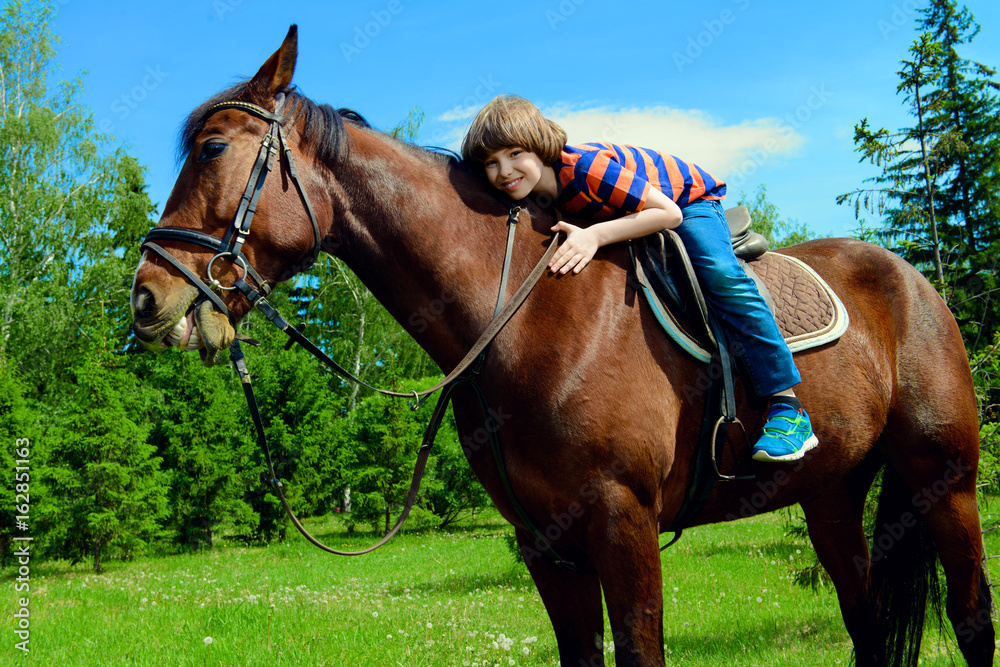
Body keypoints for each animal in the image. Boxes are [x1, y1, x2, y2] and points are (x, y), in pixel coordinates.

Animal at [131, 27, 992, 667]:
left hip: (943, 479)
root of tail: (913, 281)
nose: (147, 296)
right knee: (866, 622)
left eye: (212, 149)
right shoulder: (545, 541)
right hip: (833, 491)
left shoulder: (623, 520)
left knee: (973, 618)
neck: (523, 313)